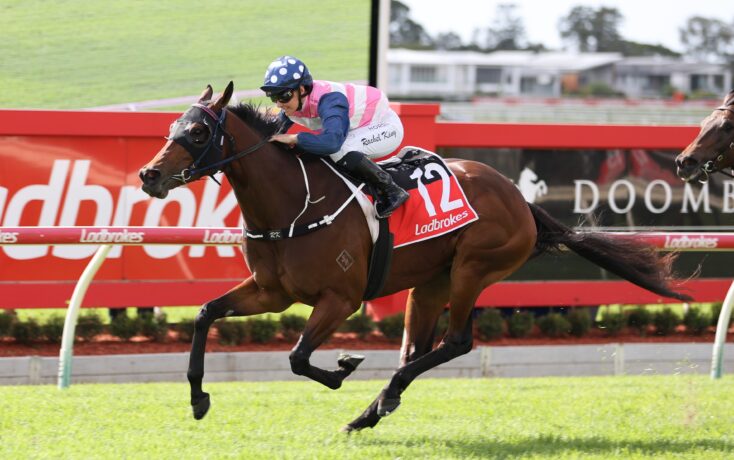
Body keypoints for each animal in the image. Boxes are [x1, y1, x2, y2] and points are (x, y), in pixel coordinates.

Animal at [139, 82, 691, 432]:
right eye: (172, 126)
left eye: (197, 133)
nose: (149, 175)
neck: (292, 201)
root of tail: (521, 200)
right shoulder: (271, 293)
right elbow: (205, 313)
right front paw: (198, 398)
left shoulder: (340, 299)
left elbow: (297, 357)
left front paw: (341, 367)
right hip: (430, 283)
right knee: (416, 349)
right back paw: (376, 406)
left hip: (473, 268)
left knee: (457, 341)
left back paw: (381, 398)